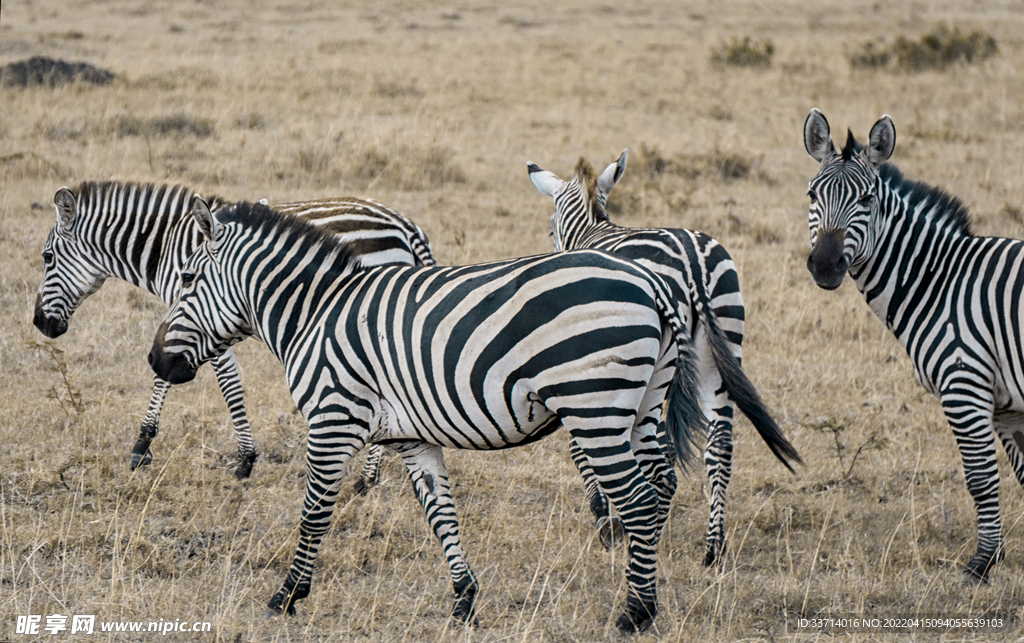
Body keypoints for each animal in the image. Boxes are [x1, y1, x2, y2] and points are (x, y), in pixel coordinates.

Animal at [34, 178, 434, 479]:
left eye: (47, 257)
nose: (40, 323)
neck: (166, 248)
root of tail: (405, 223)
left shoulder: (204, 320)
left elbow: (222, 385)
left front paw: (238, 458)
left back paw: (367, 477)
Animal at [149, 197, 712, 634]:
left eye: (187, 278)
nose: (155, 360)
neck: (314, 313)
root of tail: (649, 282)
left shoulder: (332, 420)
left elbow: (313, 514)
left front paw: (286, 596)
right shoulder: (411, 438)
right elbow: (441, 513)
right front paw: (464, 600)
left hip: (596, 408)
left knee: (638, 500)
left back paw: (635, 613)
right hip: (639, 407)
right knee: (660, 486)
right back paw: (646, 592)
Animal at [528, 153, 806, 565]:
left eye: (550, 231)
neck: (593, 228)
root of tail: (693, 261)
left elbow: (583, 448)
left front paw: (605, 520)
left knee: (666, 443)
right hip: (719, 346)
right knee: (719, 443)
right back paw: (713, 547)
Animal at [802, 108, 1024, 581]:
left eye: (867, 200)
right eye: (812, 194)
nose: (826, 265)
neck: (939, 281)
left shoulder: (964, 386)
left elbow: (981, 479)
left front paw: (982, 564)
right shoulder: (1006, 406)